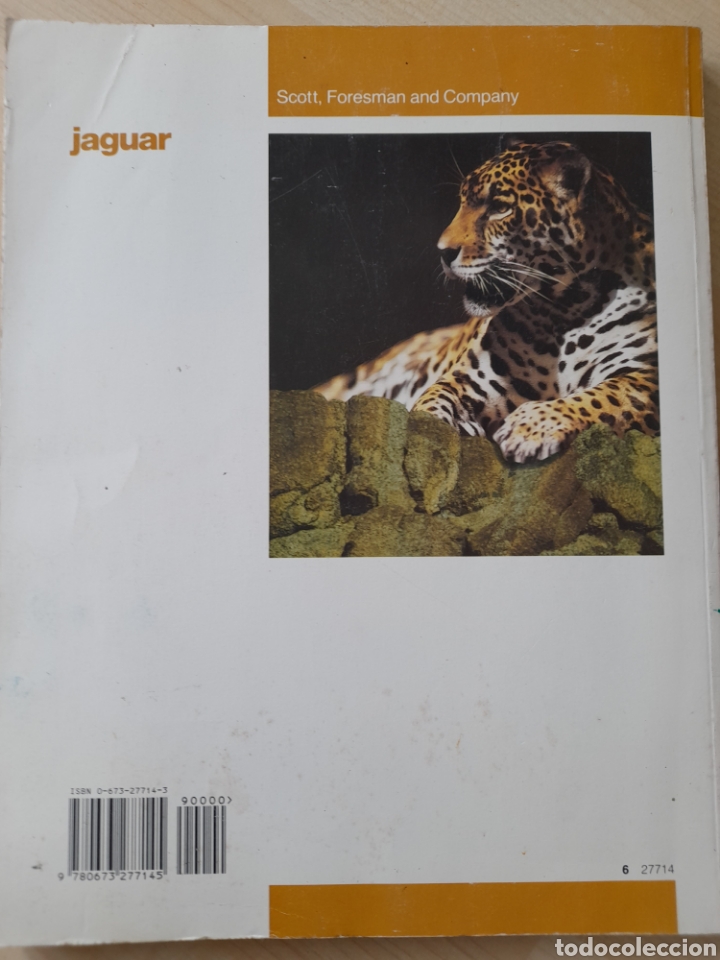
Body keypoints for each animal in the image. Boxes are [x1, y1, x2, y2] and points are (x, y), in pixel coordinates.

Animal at [315, 140, 658, 464]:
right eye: (462, 202)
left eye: (499, 208)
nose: (443, 251)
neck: (566, 308)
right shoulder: (471, 379)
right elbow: (431, 401)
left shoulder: (645, 377)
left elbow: (601, 397)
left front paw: (531, 427)